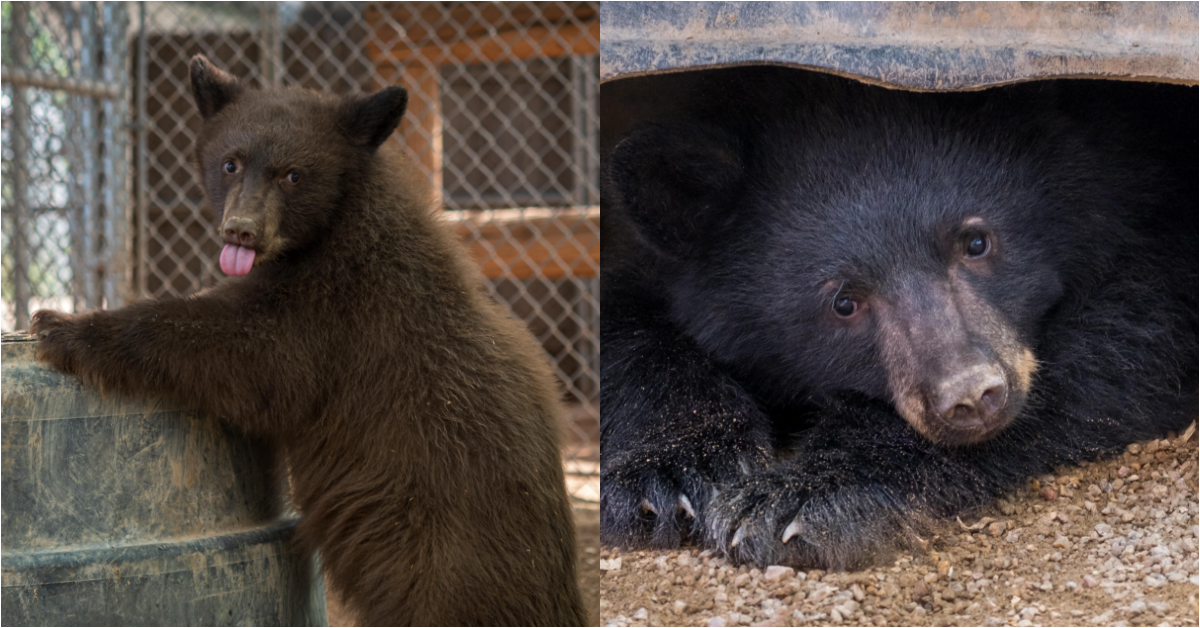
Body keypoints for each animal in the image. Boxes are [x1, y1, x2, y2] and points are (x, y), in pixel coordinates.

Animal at [30, 55, 587, 625]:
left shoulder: (336, 316)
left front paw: (62, 325)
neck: (336, 226)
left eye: (293, 175)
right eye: (231, 163)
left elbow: (249, 357)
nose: (242, 230)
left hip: (445, 565)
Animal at [600, 67, 1198, 569]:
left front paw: (795, 499)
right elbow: (624, 323)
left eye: (976, 242)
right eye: (844, 302)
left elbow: (1134, 337)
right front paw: (668, 478)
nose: (972, 396)